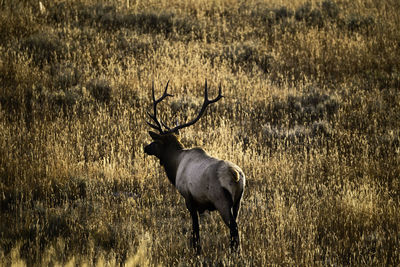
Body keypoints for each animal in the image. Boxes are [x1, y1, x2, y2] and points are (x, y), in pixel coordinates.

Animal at [142, 79, 245, 253]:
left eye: (155, 141)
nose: (145, 147)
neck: (174, 166)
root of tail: (236, 176)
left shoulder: (188, 197)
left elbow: (195, 228)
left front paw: (197, 250)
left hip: (222, 200)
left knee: (234, 228)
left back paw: (234, 253)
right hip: (238, 201)